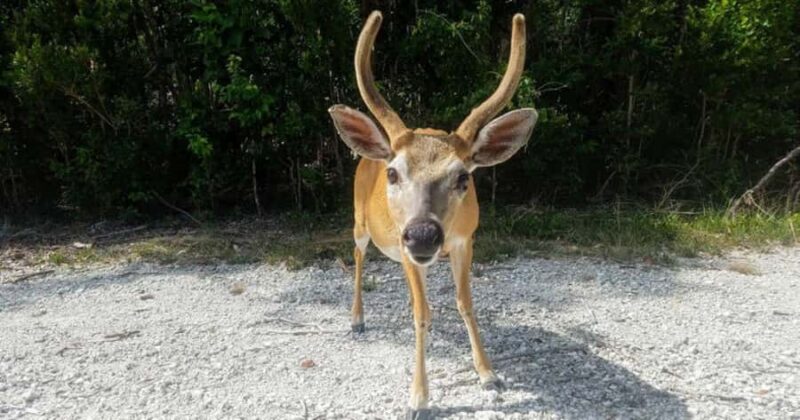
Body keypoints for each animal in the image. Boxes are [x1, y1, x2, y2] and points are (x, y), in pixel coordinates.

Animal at [328, 11, 537, 419]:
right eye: (394, 173)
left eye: (463, 177)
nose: (423, 234)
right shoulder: (405, 244)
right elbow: (422, 314)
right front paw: (419, 399)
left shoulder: (464, 240)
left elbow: (464, 303)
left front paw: (488, 374)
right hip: (362, 222)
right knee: (359, 255)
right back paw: (357, 319)